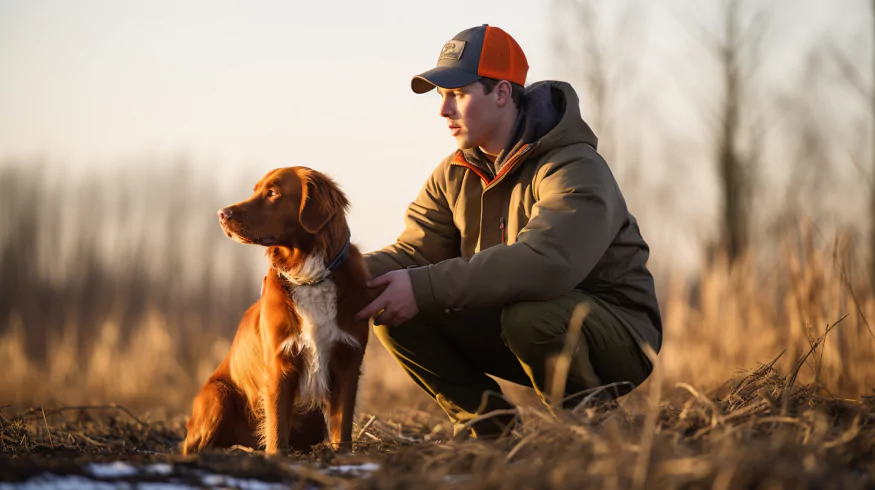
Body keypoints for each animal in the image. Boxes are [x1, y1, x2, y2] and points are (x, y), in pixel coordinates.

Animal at [183, 166, 372, 456]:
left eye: (272, 193)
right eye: (255, 190)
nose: (222, 214)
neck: (309, 276)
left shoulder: (347, 363)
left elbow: (342, 429)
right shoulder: (279, 364)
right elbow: (277, 428)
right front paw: (276, 457)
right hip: (218, 396)